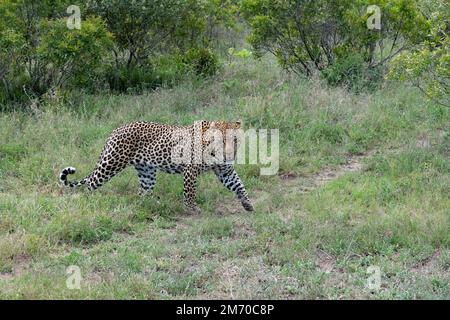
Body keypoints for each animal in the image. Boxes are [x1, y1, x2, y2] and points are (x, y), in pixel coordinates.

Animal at [60, 120, 253, 215]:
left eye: (235, 140)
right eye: (221, 141)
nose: (229, 154)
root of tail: (116, 130)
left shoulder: (225, 171)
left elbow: (239, 185)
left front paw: (247, 204)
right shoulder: (190, 171)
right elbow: (190, 193)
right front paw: (192, 209)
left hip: (147, 171)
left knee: (143, 192)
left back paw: (154, 205)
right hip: (111, 163)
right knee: (90, 183)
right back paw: (87, 201)